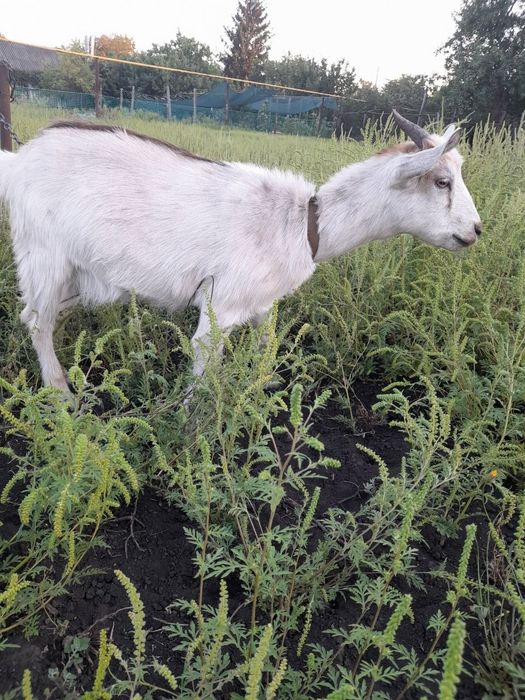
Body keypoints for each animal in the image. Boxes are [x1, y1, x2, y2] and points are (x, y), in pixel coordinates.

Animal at [0, 112, 481, 393]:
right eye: (442, 181)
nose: (475, 231)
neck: (302, 225)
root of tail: (19, 161)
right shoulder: (221, 308)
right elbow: (203, 379)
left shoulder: (262, 304)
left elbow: (268, 345)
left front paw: (263, 389)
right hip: (43, 255)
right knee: (36, 320)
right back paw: (60, 394)